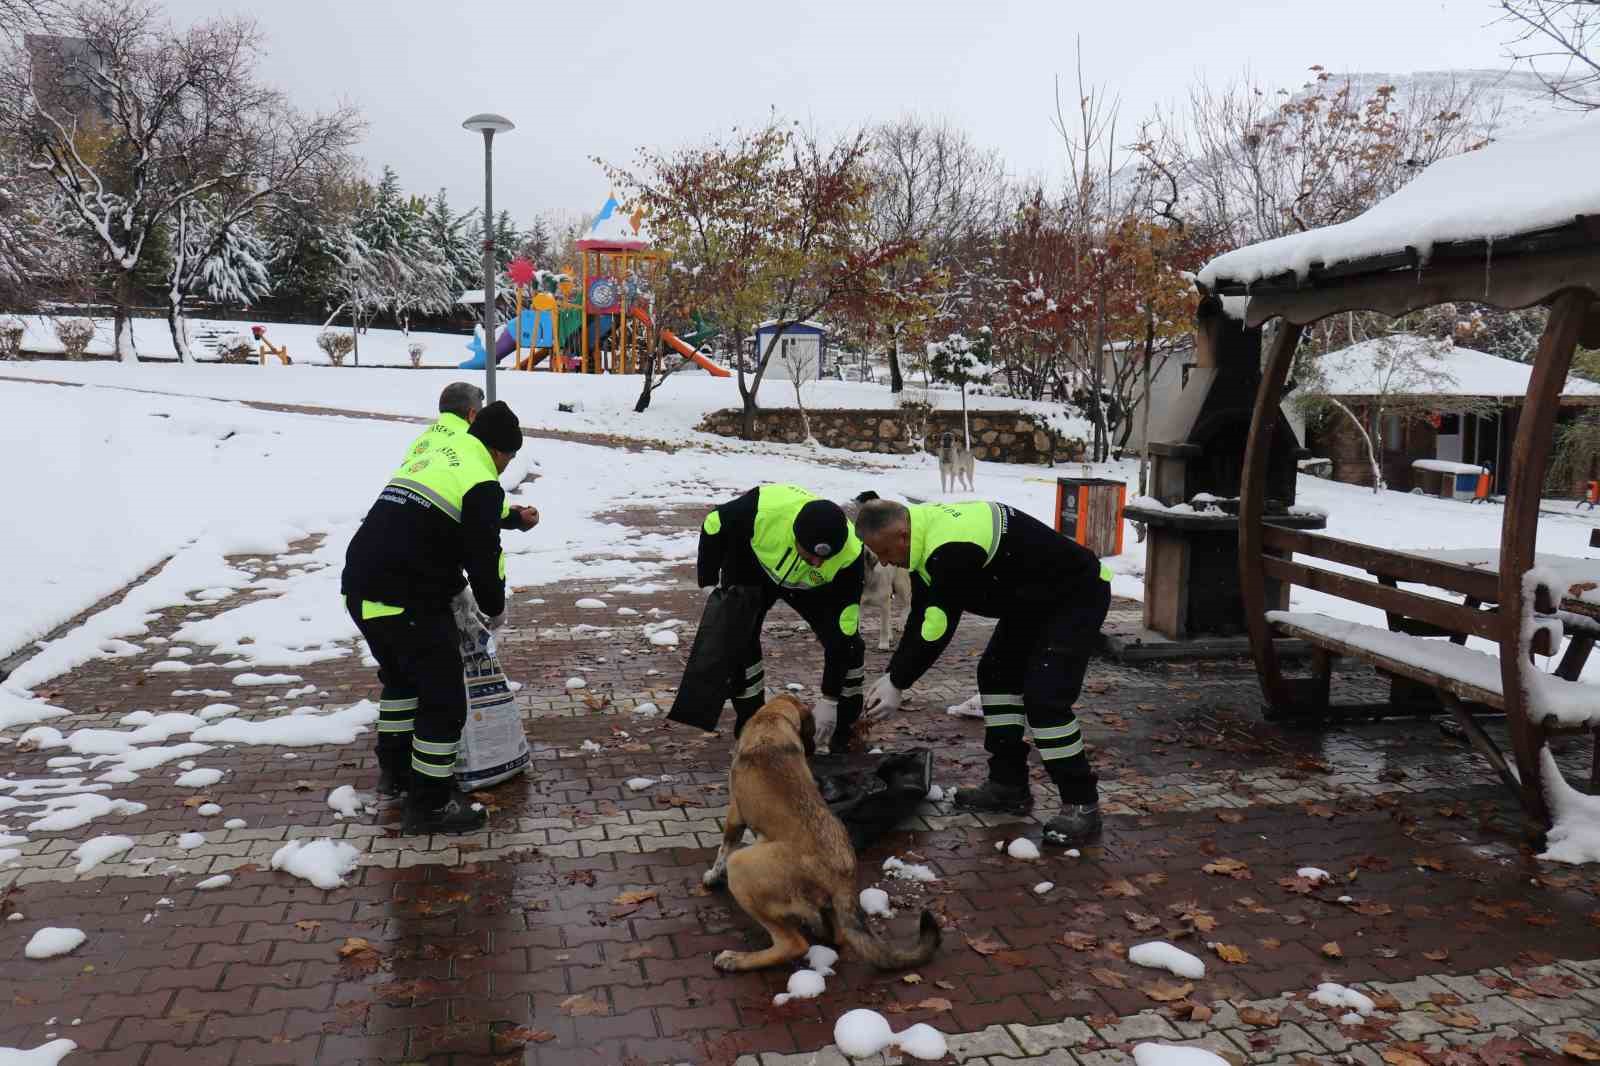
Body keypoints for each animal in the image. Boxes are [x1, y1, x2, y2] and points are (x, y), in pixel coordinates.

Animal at [700, 694, 934, 966]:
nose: (813, 748)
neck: (772, 721)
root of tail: (842, 876)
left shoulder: (735, 814)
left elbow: (724, 849)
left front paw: (712, 876)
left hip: (742, 865)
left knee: (793, 944)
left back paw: (736, 959)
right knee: (838, 937)